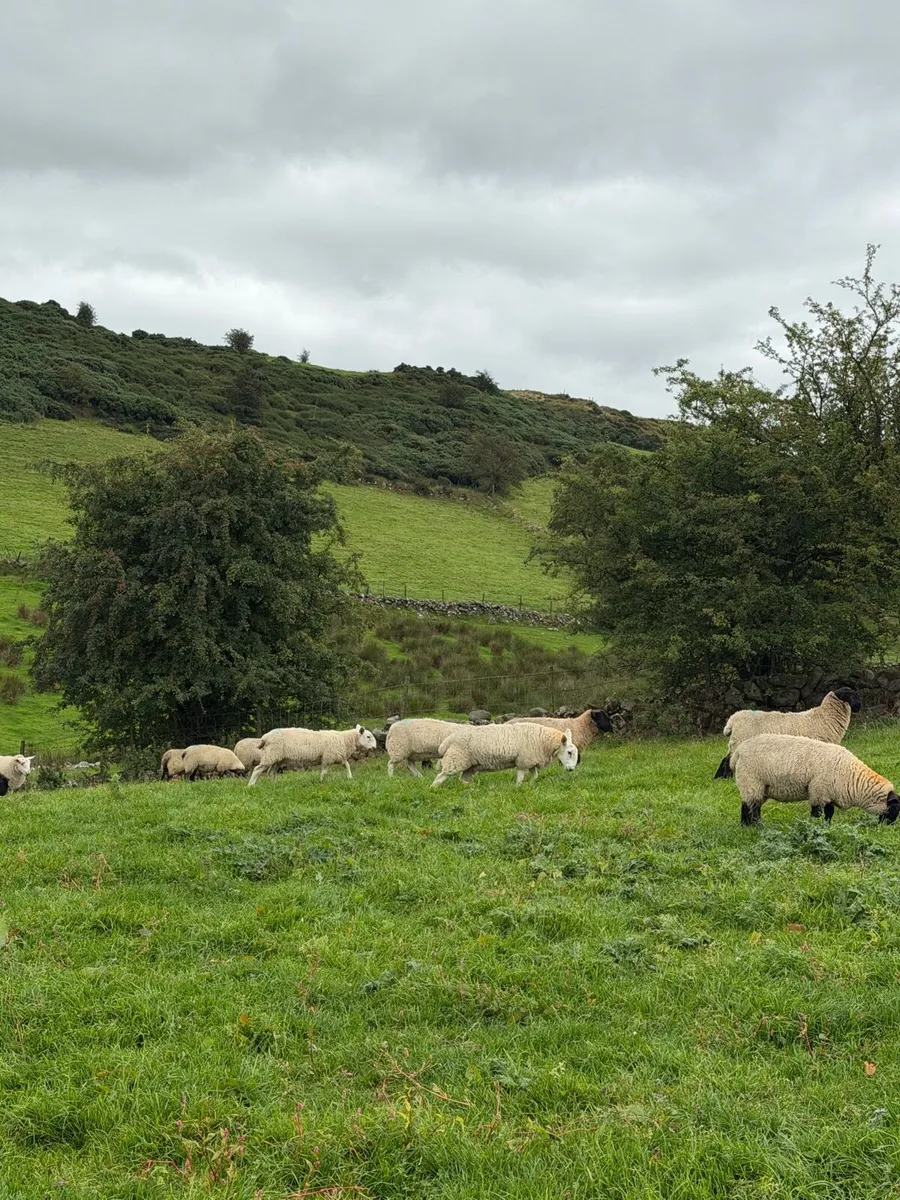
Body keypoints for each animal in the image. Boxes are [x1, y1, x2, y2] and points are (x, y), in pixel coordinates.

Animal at [247, 725, 378, 786]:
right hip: (271, 754)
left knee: (271, 772)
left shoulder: (338, 756)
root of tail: (265, 737)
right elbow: (324, 771)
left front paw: (350, 778)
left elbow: (347, 765)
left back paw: (273, 785)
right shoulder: (327, 757)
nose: (375, 748)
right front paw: (321, 781)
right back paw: (251, 785)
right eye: (368, 736)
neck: (344, 739)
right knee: (257, 769)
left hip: (277, 758)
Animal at [432, 723, 578, 787]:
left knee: (463, 780)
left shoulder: (530, 760)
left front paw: (531, 785)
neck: (543, 741)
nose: (571, 770)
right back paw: (433, 789)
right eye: (569, 752)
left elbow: (535, 775)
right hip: (456, 759)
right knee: (441, 776)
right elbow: (520, 777)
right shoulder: (522, 761)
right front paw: (518, 788)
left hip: (470, 766)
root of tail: (447, 741)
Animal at [714, 688, 862, 785]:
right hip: (739, 740)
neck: (824, 717)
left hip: (736, 742)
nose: (859, 707)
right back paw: (725, 779)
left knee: (725, 759)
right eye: (852, 696)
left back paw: (720, 778)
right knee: (728, 761)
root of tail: (732, 720)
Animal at [729, 733, 900, 827]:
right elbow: (817, 812)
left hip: (758, 786)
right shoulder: (818, 791)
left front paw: (827, 826)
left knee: (749, 805)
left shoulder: (829, 794)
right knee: (751, 807)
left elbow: (829, 812)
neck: (851, 778)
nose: (888, 826)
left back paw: (746, 826)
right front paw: (814, 826)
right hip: (751, 781)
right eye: (894, 808)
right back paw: (756, 826)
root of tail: (738, 752)